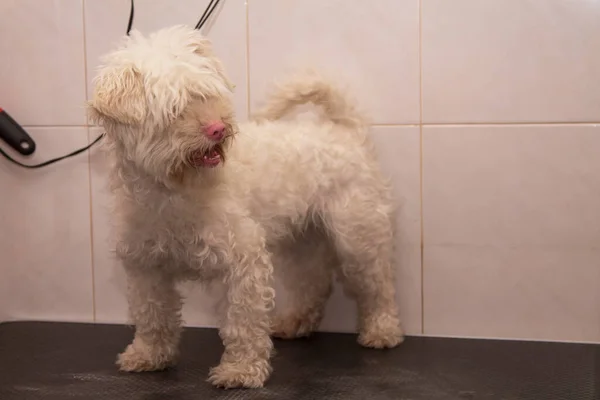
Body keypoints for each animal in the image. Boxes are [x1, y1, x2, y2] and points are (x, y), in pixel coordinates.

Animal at [88, 25, 404, 388]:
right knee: (313, 282)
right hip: (304, 240)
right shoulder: (145, 266)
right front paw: (148, 356)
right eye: (174, 108)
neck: (173, 191)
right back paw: (295, 322)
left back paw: (382, 330)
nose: (218, 129)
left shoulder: (244, 259)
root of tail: (346, 130)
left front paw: (241, 370)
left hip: (358, 238)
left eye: (205, 94)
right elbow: (153, 315)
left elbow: (243, 320)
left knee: (378, 284)